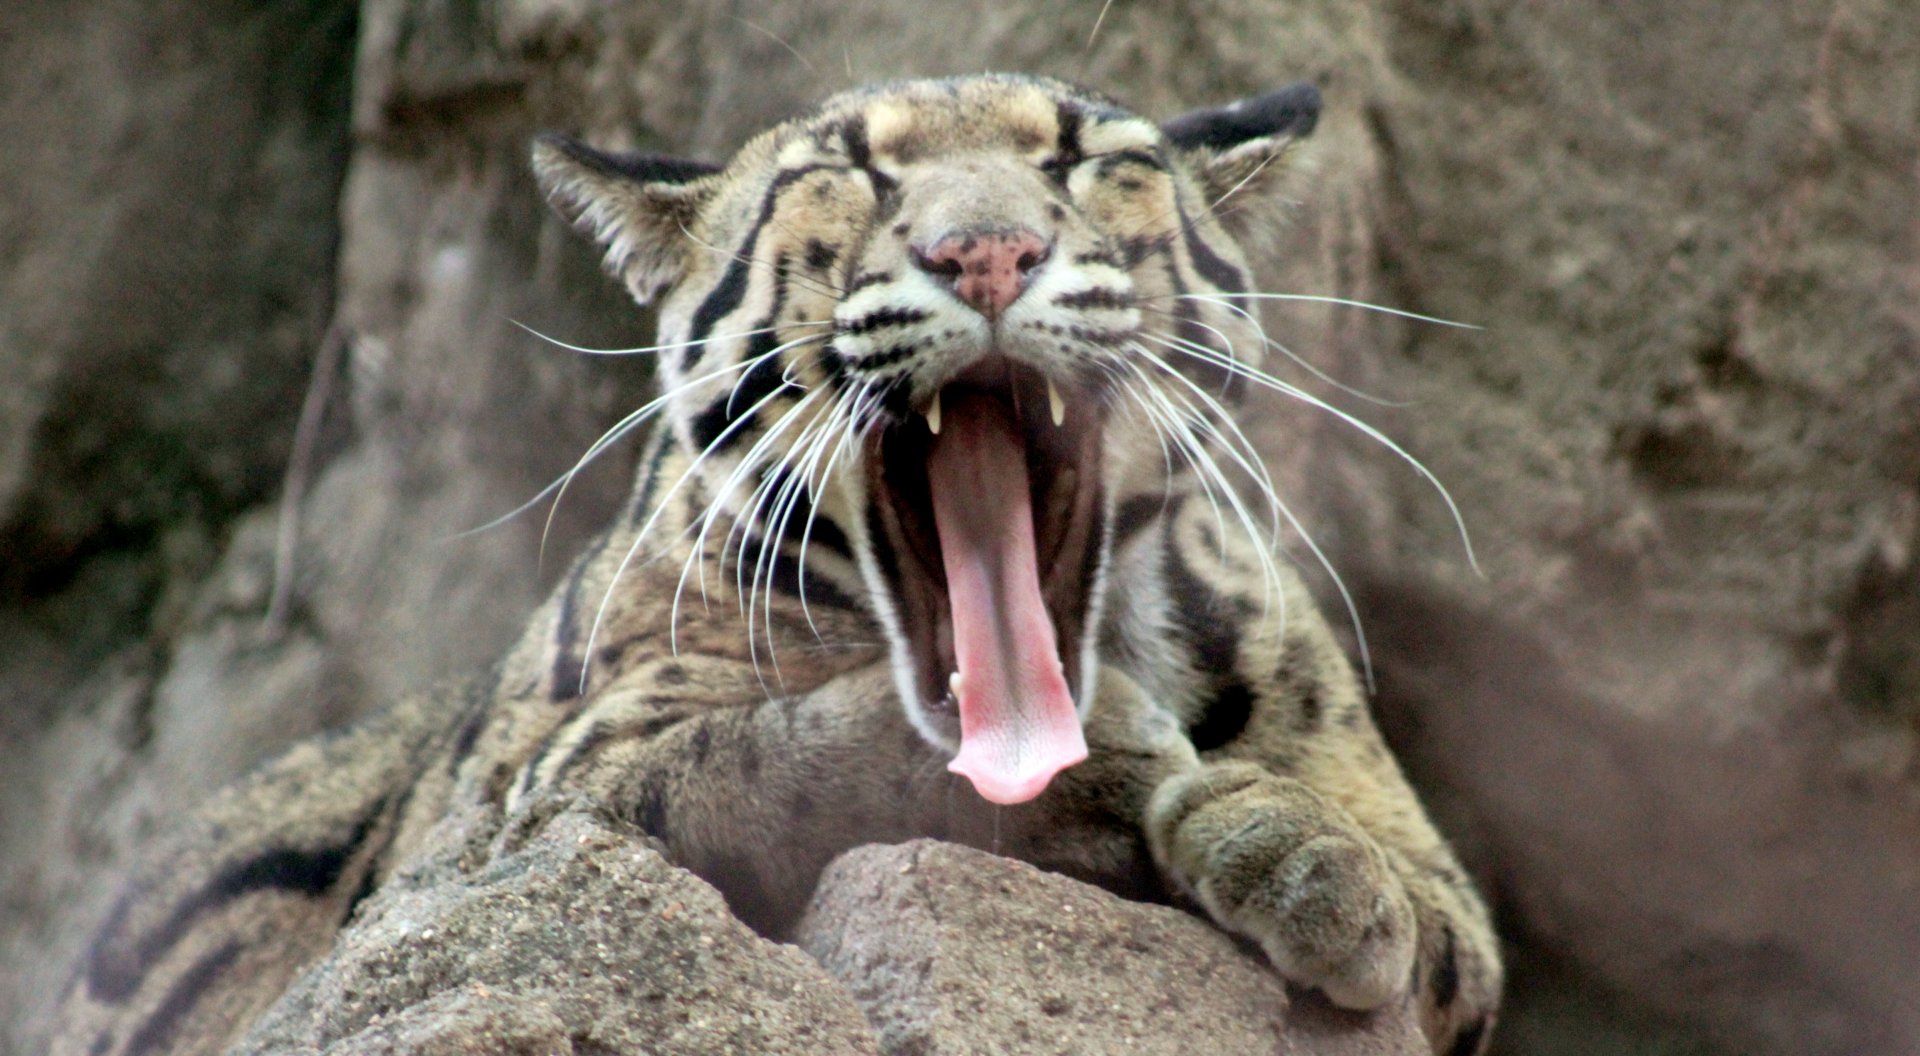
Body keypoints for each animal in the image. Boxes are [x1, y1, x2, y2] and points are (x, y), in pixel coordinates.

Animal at [52, 73, 1501, 1055]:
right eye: (855, 171)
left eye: (1084, 158)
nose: (990, 250)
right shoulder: (520, 820)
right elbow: (756, 757)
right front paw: (1128, 778)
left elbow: (1440, 924)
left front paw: (1311, 860)